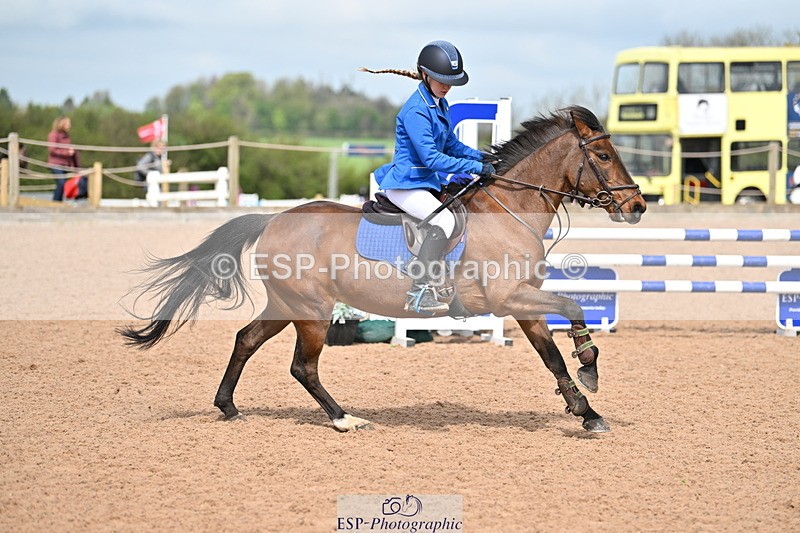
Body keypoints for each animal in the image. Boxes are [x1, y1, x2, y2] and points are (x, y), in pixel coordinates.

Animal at [120, 105, 646, 433]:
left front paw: (585, 409)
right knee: (302, 366)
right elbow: (573, 306)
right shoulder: (508, 297)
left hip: (287, 304)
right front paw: (590, 367)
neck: (508, 210)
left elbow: (551, 355)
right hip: (312, 311)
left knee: (246, 340)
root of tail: (273, 219)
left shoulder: (523, 303)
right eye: (603, 156)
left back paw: (228, 407)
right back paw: (343, 419)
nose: (637, 205)